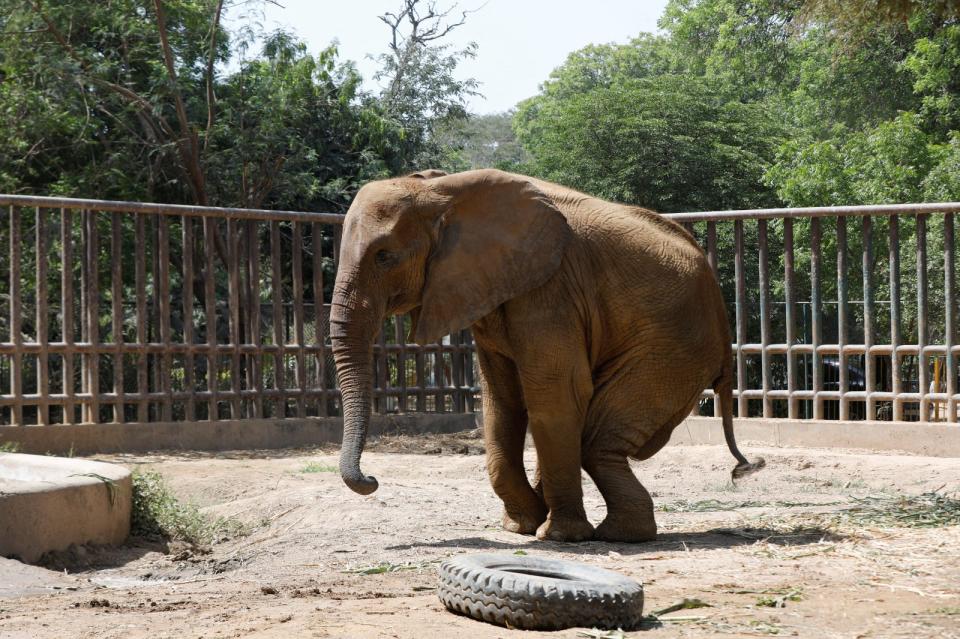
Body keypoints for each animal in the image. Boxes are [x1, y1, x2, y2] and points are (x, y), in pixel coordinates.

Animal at [330, 168, 764, 544]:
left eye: (384, 256)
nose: (372, 480)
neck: (440, 190)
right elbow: (502, 401)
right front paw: (520, 526)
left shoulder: (551, 290)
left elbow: (556, 394)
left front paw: (557, 536)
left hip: (671, 350)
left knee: (597, 439)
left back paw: (618, 534)